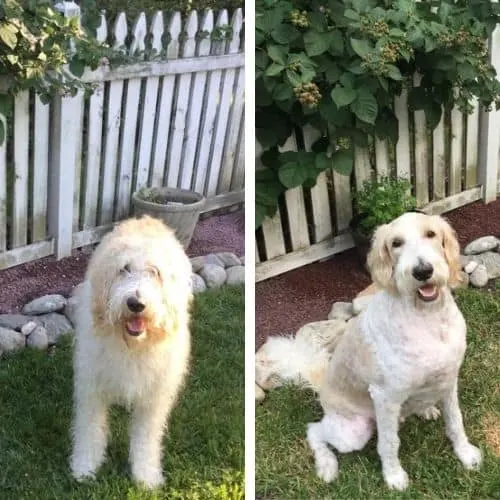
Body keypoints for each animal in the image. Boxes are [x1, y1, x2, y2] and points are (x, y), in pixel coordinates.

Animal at [68, 216, 189, 488]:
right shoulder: (92, 388)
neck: (134, 347)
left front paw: (146, 476)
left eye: (155, 272)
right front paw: (85, 467)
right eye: (124, 269)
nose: (136, 303)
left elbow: (146, 438)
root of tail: (146, 219)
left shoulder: (154, 398)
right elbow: (89, 428)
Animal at [306, 213, 482, 490]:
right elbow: (389, 443)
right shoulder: (385, 397)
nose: (422, 271)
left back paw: (425, 408)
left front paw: (465, 454)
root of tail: (322, 390)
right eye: (396, 243)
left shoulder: (449, 380)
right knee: (314, 431)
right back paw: (326, 465)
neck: (428, 319)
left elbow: (456, 421)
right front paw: (393, 476)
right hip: (351, 432)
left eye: (431, 234)